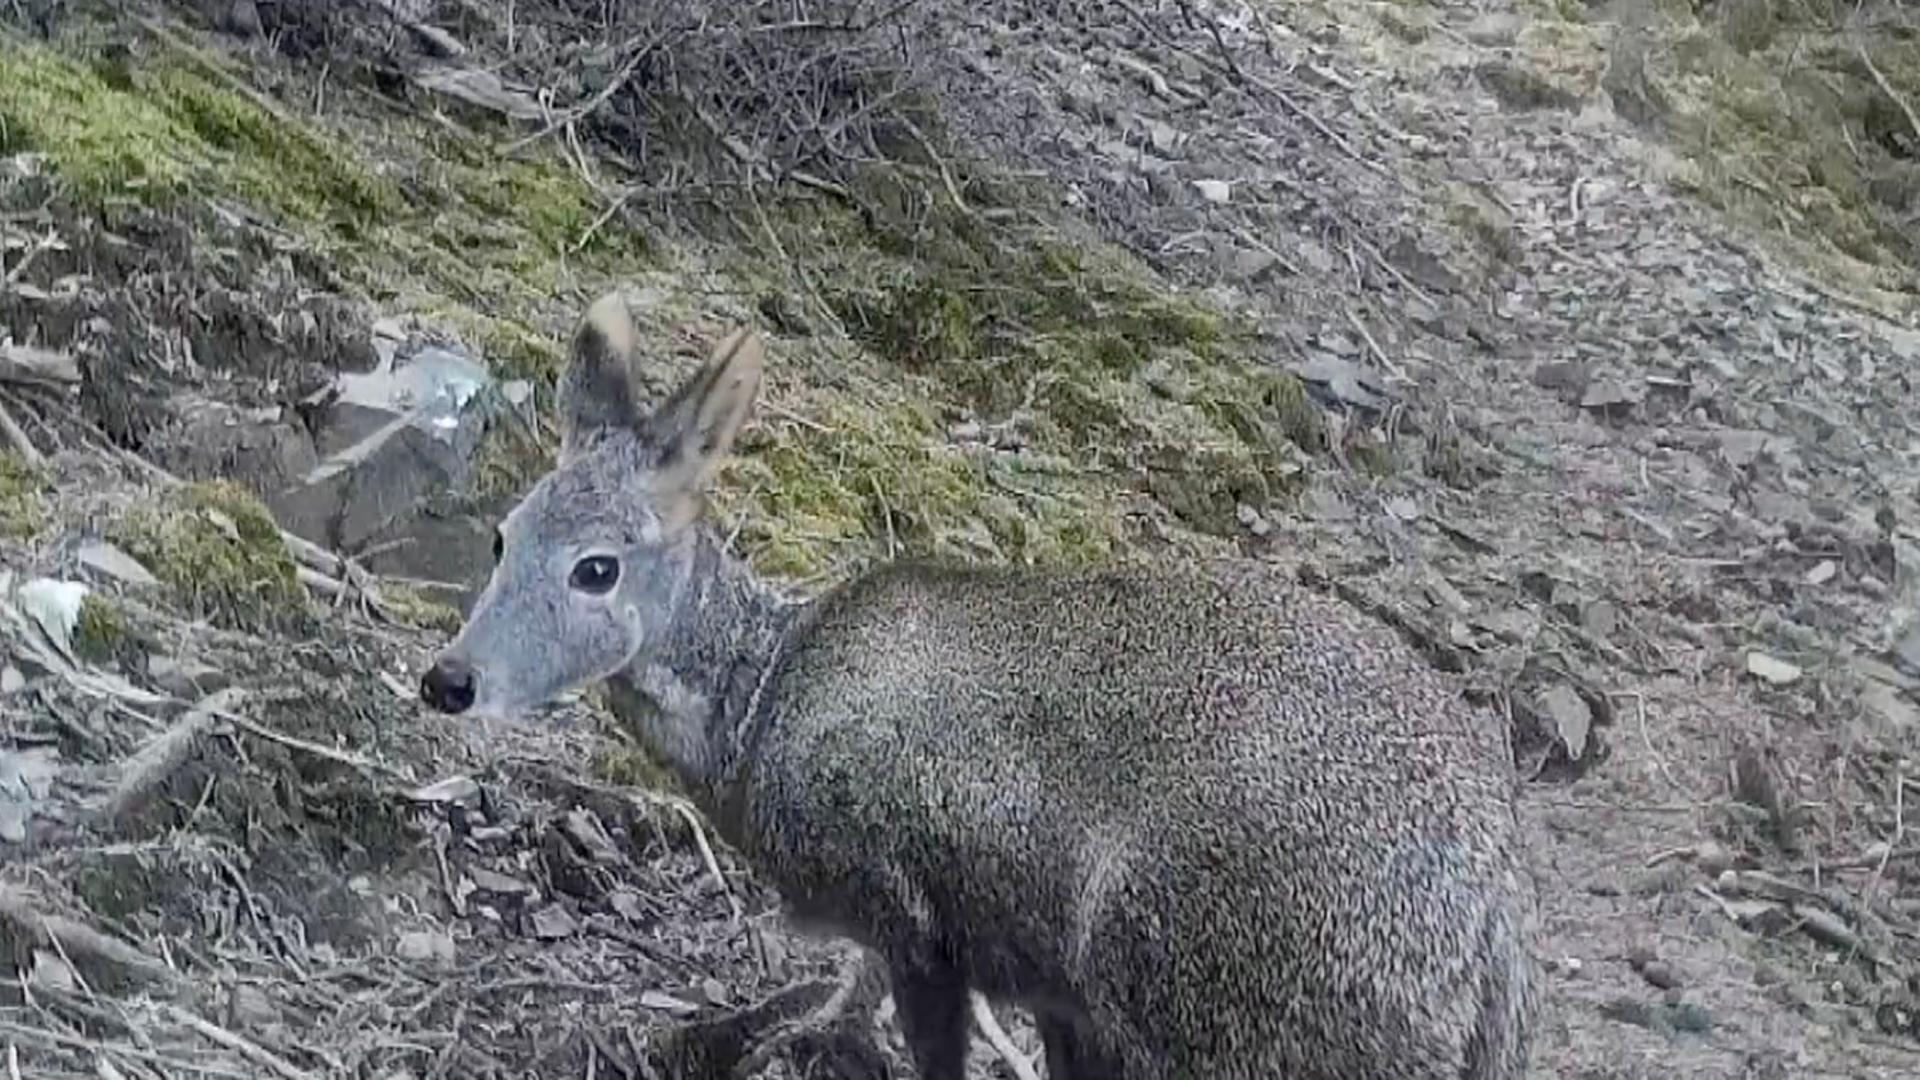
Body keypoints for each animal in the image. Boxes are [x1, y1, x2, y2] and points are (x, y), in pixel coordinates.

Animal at [424, 290, 1543, 1068]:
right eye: (503, 534)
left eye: (597, 568)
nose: (451, 682)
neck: (765, 699)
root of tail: (1489, 920)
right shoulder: (1041, 994)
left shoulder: (917, 925)